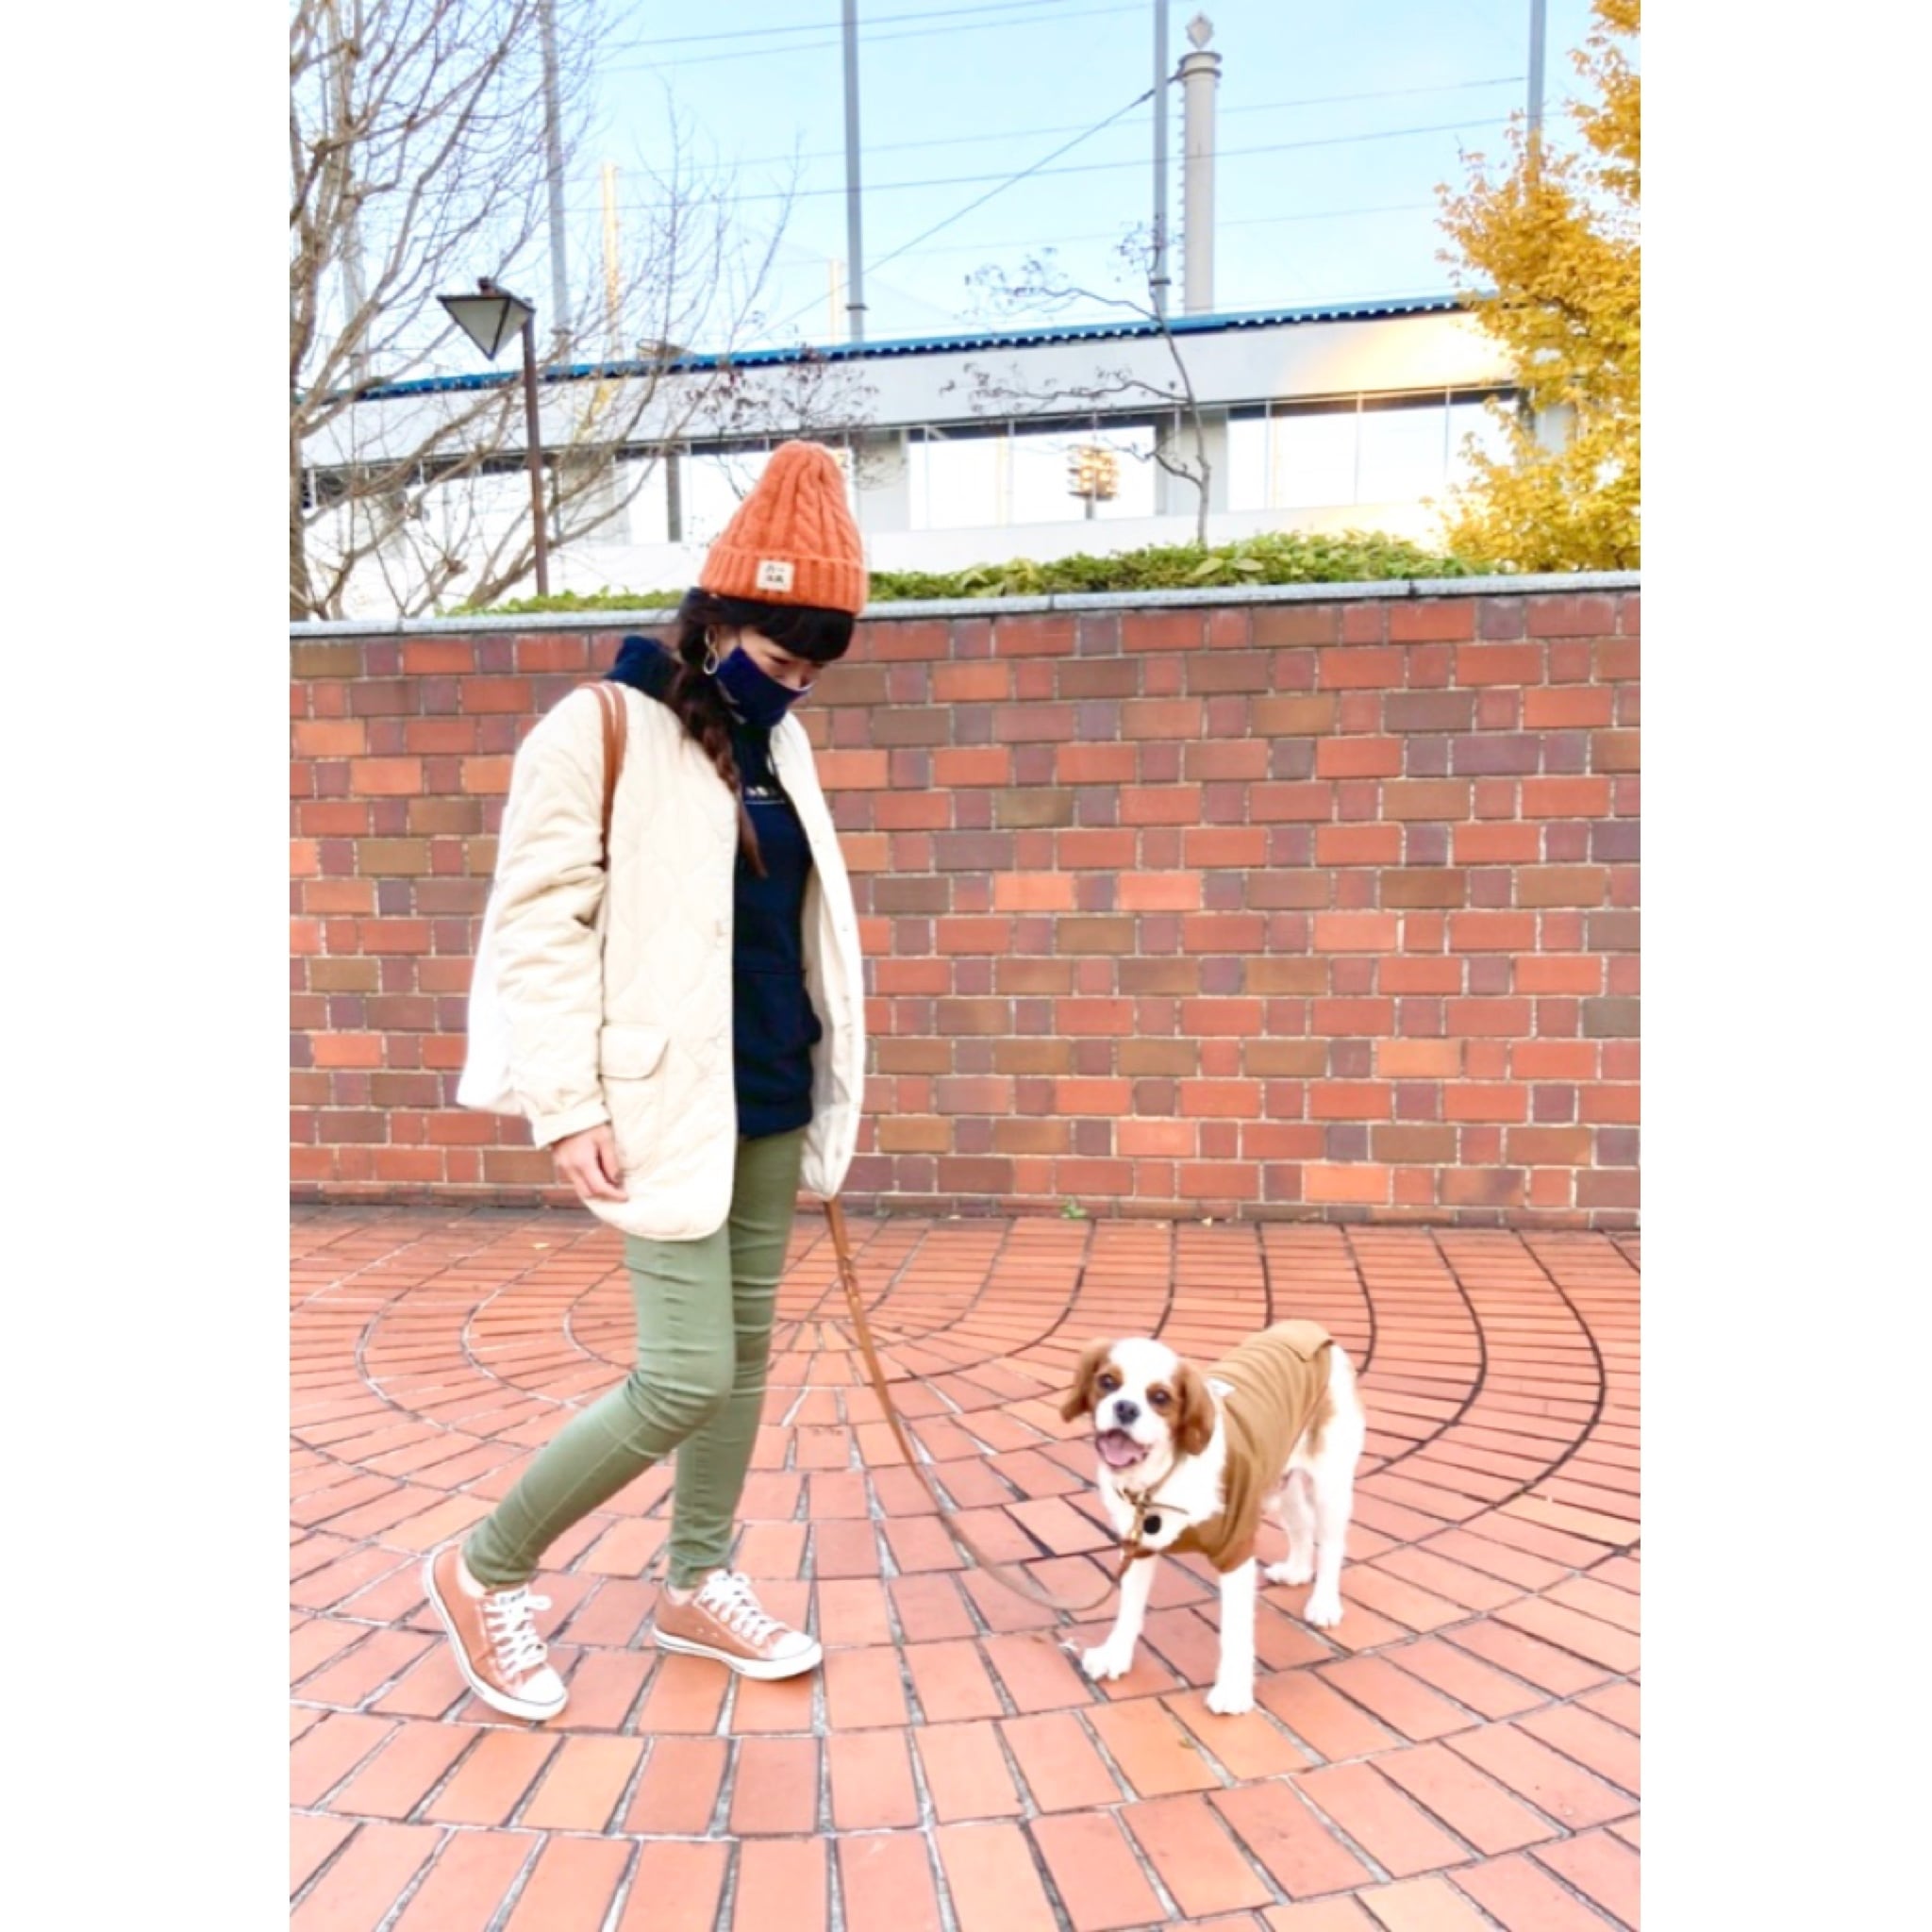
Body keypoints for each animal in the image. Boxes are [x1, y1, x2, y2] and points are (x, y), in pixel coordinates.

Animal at [1060, 1320, 1366, 1715]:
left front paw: (1233, 1689)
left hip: (1330, 1485)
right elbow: (1128, 1609)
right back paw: (1296, 1571)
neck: (1159, 1479)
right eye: (1108, 1382)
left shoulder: (1236, 1551)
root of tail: (1307, 1328)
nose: (1126, 1407)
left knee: (1330, 1545)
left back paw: (1324, 1602)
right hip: (1279, 1480)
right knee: (1301, 1526)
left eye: (1161, 1398)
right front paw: (1116, 1654)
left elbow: (1235, 1633)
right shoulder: (1138, 1546)